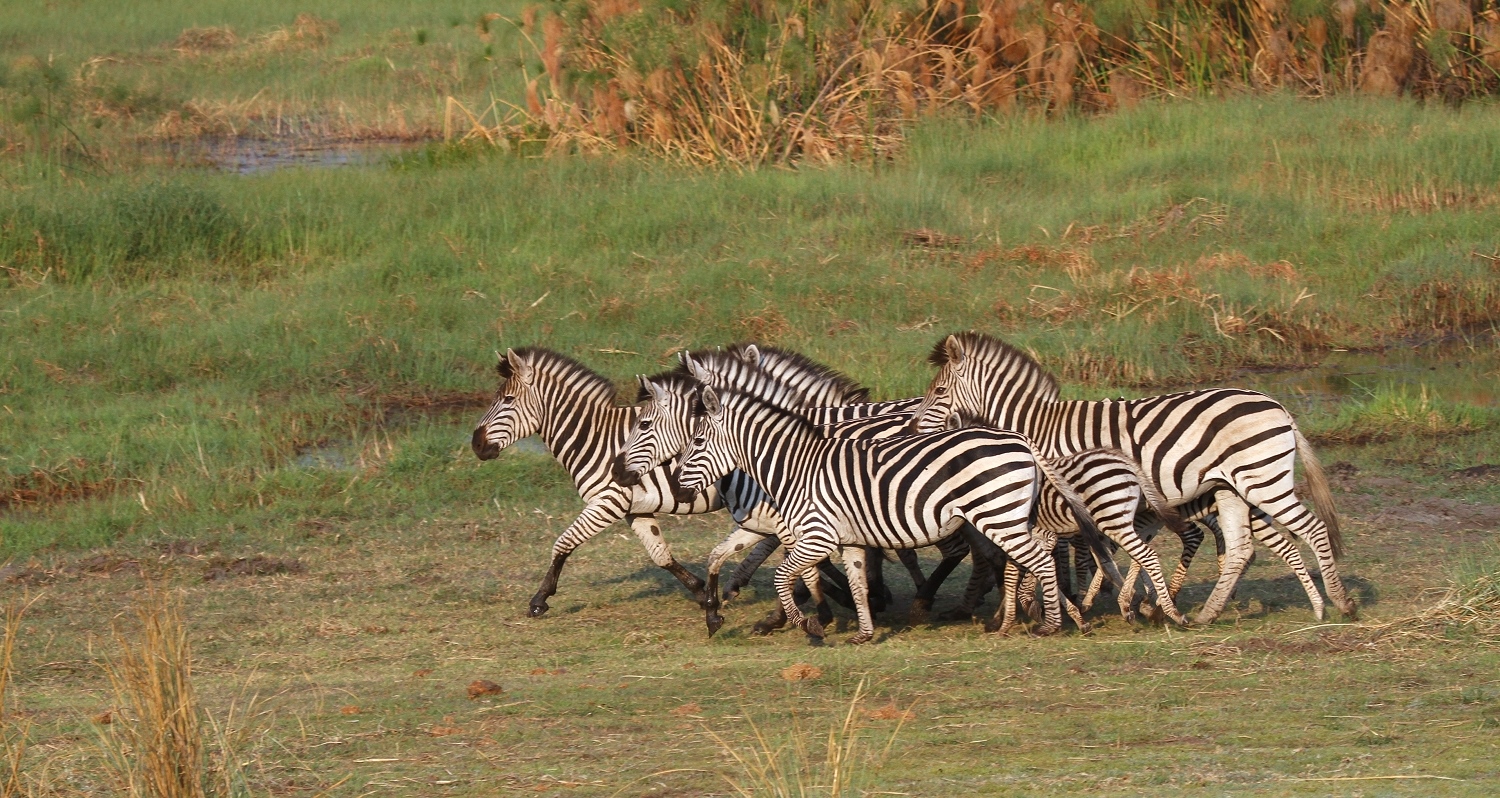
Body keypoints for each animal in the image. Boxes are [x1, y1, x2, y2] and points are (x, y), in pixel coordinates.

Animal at [906, 330, 1356, 624]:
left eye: (940, 392)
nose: (912, 429)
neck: (1038, 426)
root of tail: (1277, 405)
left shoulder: (1058, 490)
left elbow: (1064, 549)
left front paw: (1047, 604)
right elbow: (1081, 548)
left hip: (1263, 479)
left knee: (1312, 528)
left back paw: (1337, 602)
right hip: (1233, 486)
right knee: (1244, 548)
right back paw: (1209, 613)